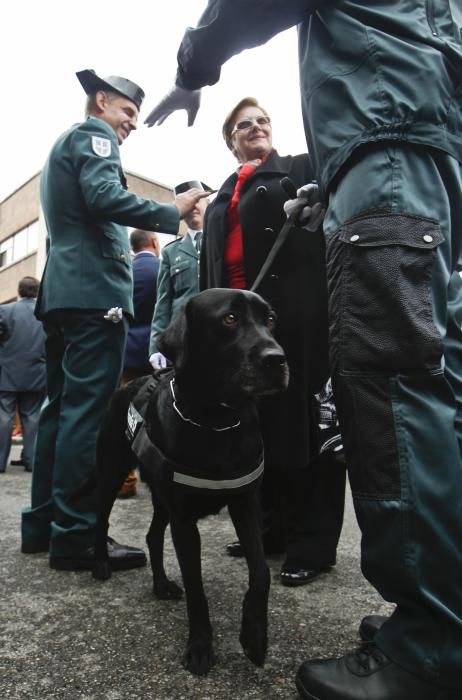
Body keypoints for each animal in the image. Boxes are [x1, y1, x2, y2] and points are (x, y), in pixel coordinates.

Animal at [91, 288, 286, 676]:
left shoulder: (245, 503)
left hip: (162, 497)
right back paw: (102, 563)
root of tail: (131, 383)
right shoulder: (184, 521)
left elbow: (261, 572)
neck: (217, 419)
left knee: (153, 536)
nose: (278, 359)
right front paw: (199, 646)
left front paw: (255, 637)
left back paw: (161, 584)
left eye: (270, 320)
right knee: (100, 517)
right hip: (111, 472)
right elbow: (197, 590)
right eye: (229, 319)